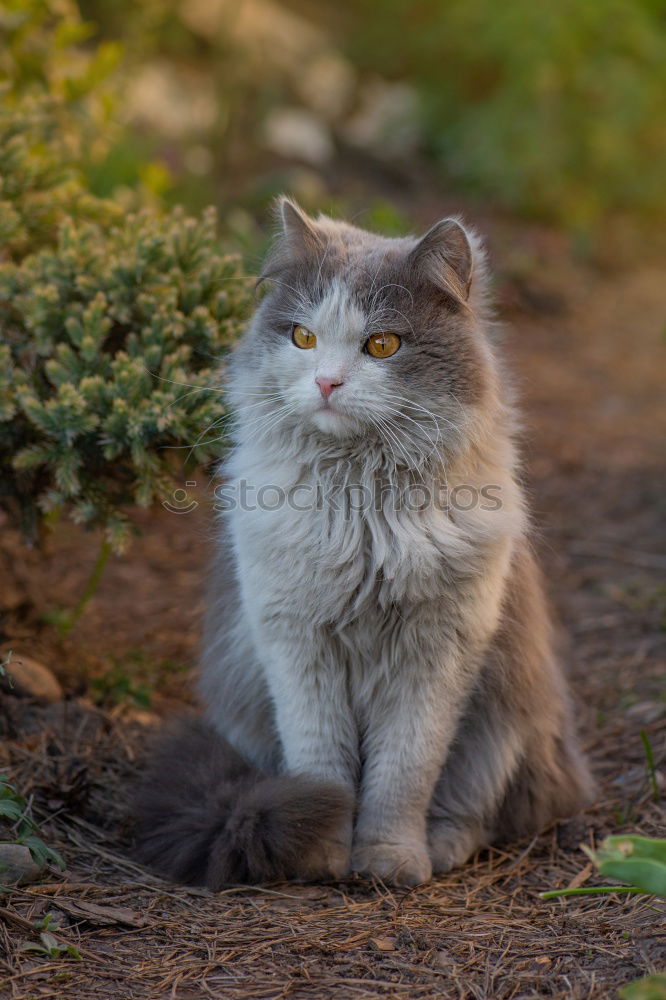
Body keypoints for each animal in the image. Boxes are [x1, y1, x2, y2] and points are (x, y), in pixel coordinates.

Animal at [131, 199, 592, 888]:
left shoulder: (436, 655)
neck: (362, 512)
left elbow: (401, 776)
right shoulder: (295, 642)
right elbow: (322, 767)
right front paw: (322, 853)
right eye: (303, 337)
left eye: (382, 344)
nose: (326, 383)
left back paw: (439, 848)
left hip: (505, 719)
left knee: (477, 813)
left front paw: (388, 861)